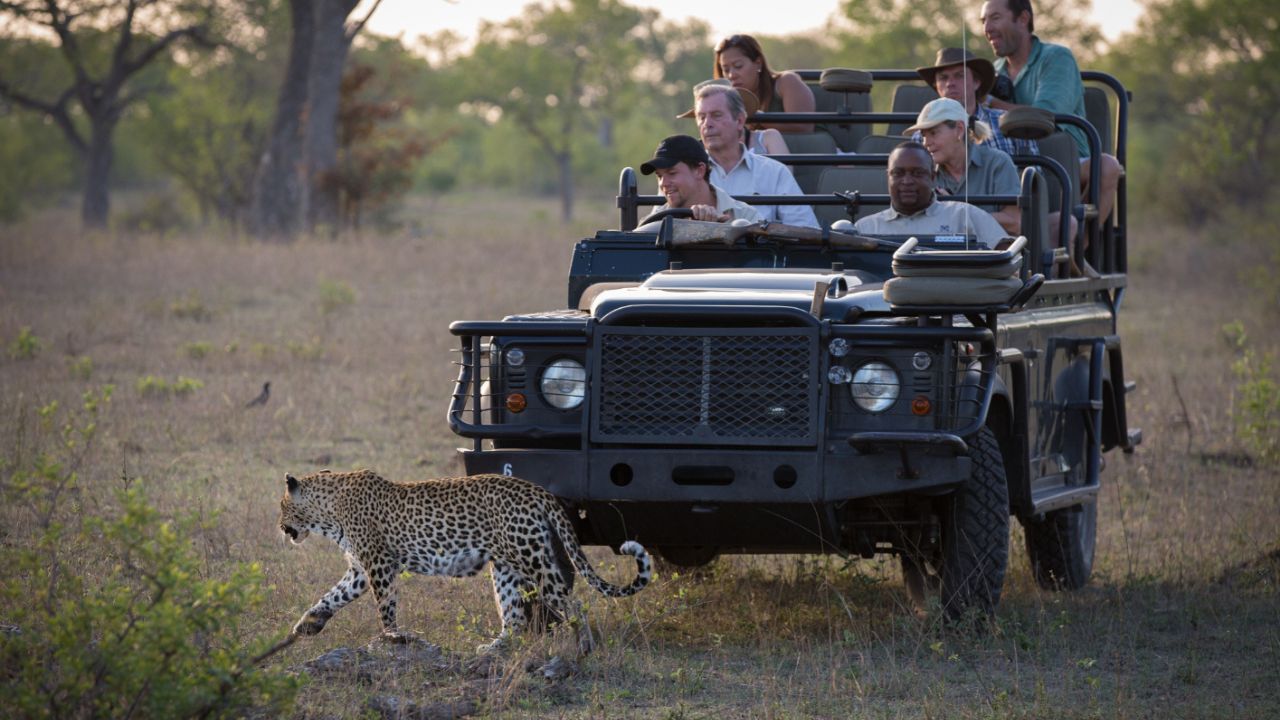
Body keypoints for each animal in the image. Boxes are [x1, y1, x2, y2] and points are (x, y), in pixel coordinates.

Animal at [278, 469, 651, 655]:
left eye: (282, 507)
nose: (281, 527)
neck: (329, 510)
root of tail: (536, 490)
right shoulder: (359, 568)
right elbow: (332, 595)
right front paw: (308, 623)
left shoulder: (379, 564)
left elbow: (384, 606)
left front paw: (390, 638)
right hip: (506, 568)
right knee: (514, 618)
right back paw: (492, 649)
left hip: (532, 559)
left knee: (573, 603)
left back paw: (585, 646)